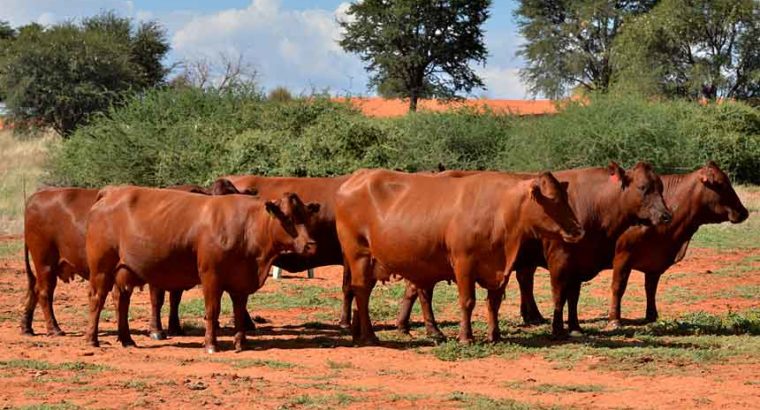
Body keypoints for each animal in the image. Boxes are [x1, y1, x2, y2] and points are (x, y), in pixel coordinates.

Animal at [20, 179, 247, 337]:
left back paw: (27, 327)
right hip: (45, 262)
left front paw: (175, 327)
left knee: (34, 289)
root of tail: (36, 197)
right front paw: (156, 330)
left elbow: (175, 298)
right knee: (45, 293)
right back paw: (54, 328)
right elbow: (158, 299)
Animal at [84, 187, 321, 352]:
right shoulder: (211, 276)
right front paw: (210, 344)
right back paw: (92, 340)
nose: (311, 245)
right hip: (101, 268)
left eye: (306, 217)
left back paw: (126, 339)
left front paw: (241, 343)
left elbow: (239, 310)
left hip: (125, 271)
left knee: (121, 300)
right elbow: (212, 310)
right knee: (97, 298)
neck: (246, 227)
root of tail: (111, 192)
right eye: (288, 218)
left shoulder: (241, 280)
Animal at [335, 169, 584, 345]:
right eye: (553, 200)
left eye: (565, 197)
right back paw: (369, 336)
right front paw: (466, 337)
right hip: (358, 255)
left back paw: (360, 334)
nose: (578, 230)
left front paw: (495, 336)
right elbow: (468, 301)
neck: (500, 210)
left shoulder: (500, 269)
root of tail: (357, 177)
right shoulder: (464, 263)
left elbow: (493, 303)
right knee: (361, 292)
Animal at [395, 163, 673, 339]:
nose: (666, 215)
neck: (594, 204)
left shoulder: (579, 262)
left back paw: (407, 326)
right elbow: (559, 295)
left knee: (415, 289)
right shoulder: (559, 259)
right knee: (422, 291)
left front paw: (574, 326)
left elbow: (573, 297)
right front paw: (557, 329)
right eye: (643, 188)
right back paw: (429, 329)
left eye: (660, 187)